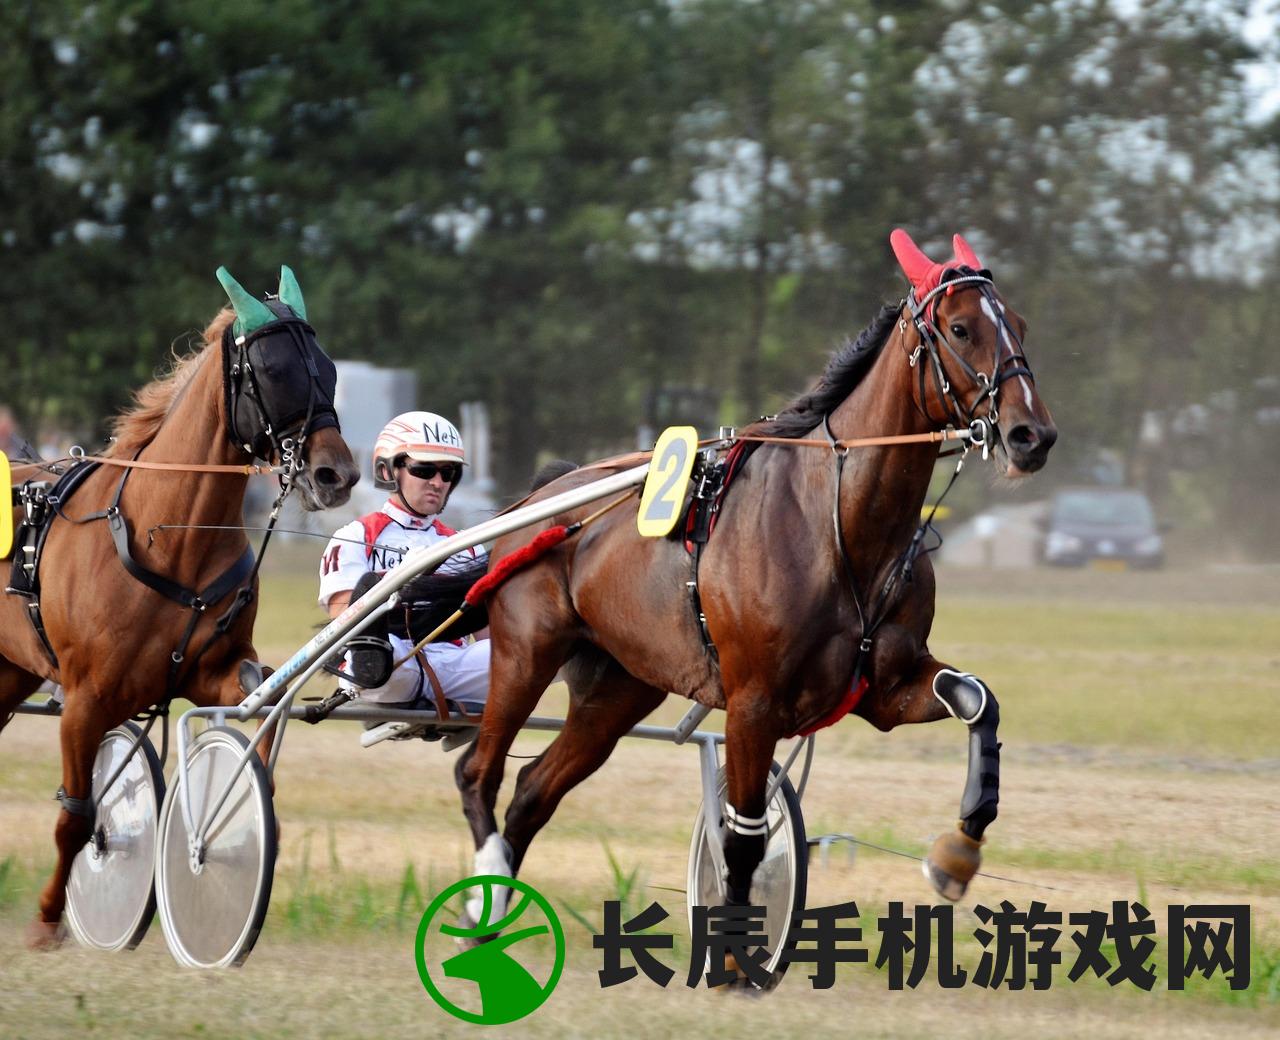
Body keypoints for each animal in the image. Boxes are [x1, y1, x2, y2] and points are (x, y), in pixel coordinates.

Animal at [1, 266, 360, 942]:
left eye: (327, 370)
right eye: (274, 371)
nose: (336, 475)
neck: (165, 537)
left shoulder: (214, 671)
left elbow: (252, 722)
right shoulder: (86, 697)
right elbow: (77, 815)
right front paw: (49, 917)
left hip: (8, 673)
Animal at [455, 229, 1054, 958]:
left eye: (1019, 324)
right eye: (962, 328)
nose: (1032, 434)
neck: (838, 522)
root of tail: (540, 502)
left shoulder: (884, 690)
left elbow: (977, 701)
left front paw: (957, 853)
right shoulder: (753, 704)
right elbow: (742, 840)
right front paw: (737, 955)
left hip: (621, 686)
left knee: (533, 790)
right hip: (526, 651)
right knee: (478, 772)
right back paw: (483, 895)